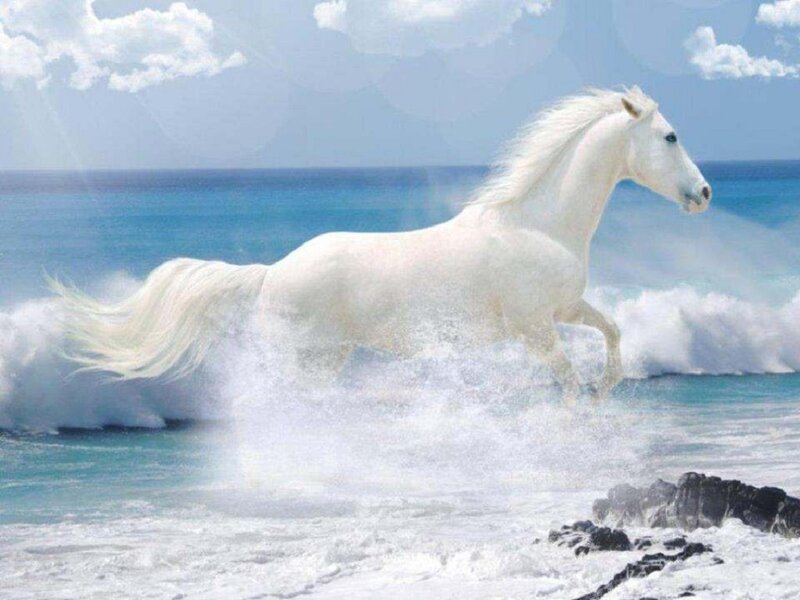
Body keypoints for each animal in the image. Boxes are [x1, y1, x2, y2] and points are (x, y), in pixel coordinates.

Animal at [52, 87, 711, 403]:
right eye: (670, 136)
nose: (704, 193)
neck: (538, 224)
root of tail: (269, 273)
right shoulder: (535, 329)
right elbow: (567, 381)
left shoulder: (565, 310)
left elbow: (613, 334)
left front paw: (604, 393)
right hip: (303, 357)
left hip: (329, 358)